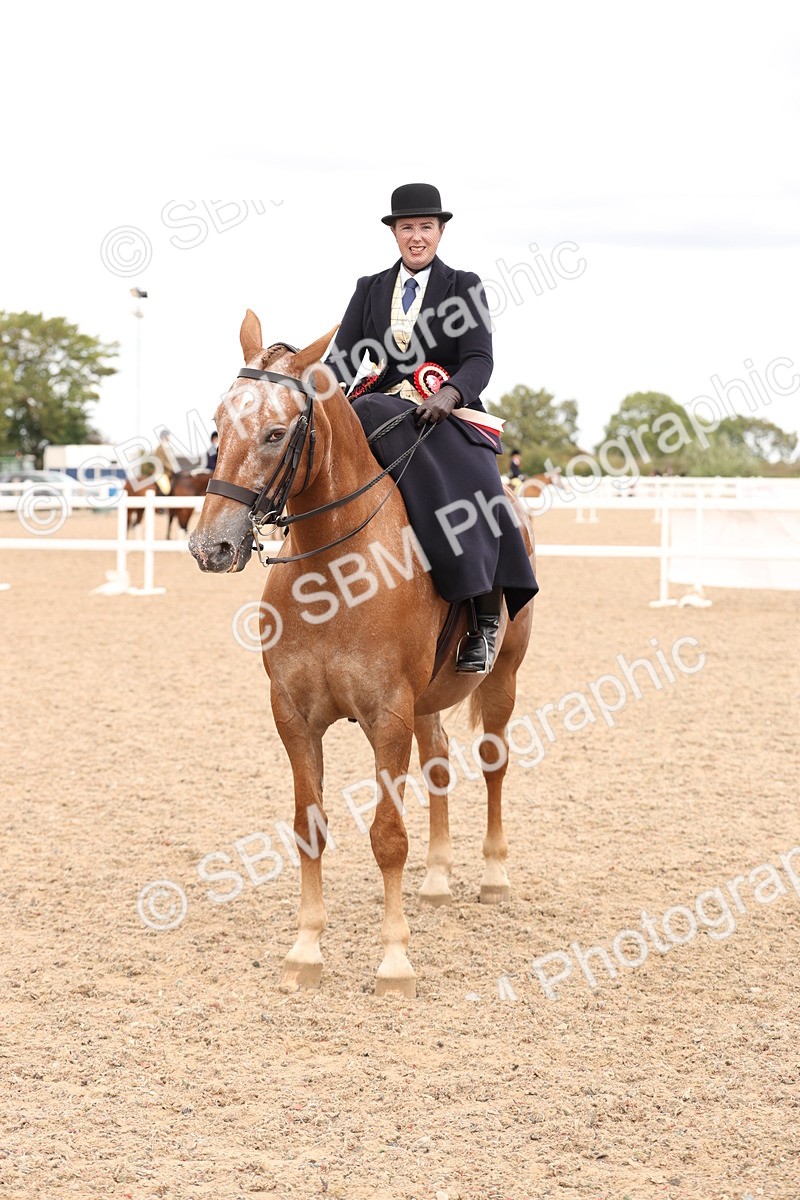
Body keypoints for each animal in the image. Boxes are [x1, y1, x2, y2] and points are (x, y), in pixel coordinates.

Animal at [189, 310, 536, 998]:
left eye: (275, 432)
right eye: (218, 422)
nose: (211, 546)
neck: (334, 573)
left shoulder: (387, 715)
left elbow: (387, 837)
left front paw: (395, 962)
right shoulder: (294, 717)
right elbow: (309, 829)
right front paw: (305, 952)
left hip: (501, 677)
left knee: (493, 763)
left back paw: (492, 878)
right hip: (429, 701)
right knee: (439, 766)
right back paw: (437, 882)